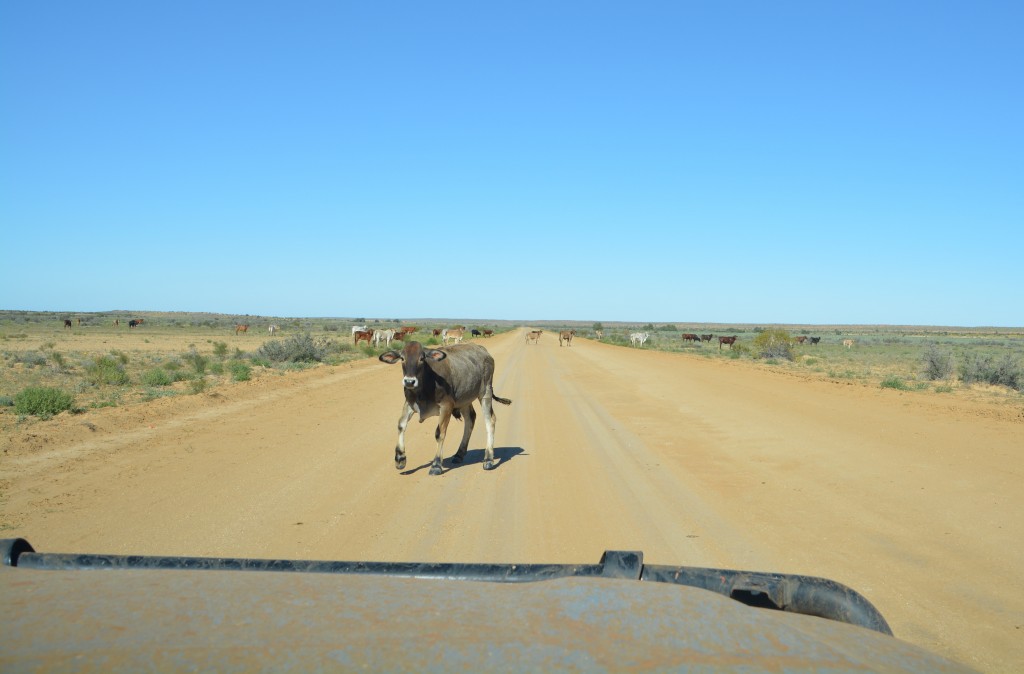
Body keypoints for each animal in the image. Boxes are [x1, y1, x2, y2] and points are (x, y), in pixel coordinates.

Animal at [379, 341, 512, 475]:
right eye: (402, 358)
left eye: (422, 358)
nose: (409, 382)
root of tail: (483, 350)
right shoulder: (409, 404)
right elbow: (401, 425)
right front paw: (400, 458)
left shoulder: (446, 406)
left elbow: (439, 433)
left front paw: (436, 464)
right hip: (464, 399)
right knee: (470, 418)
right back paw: (459, 454)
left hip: (485, 392)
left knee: (490, 420)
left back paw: (488, 459)